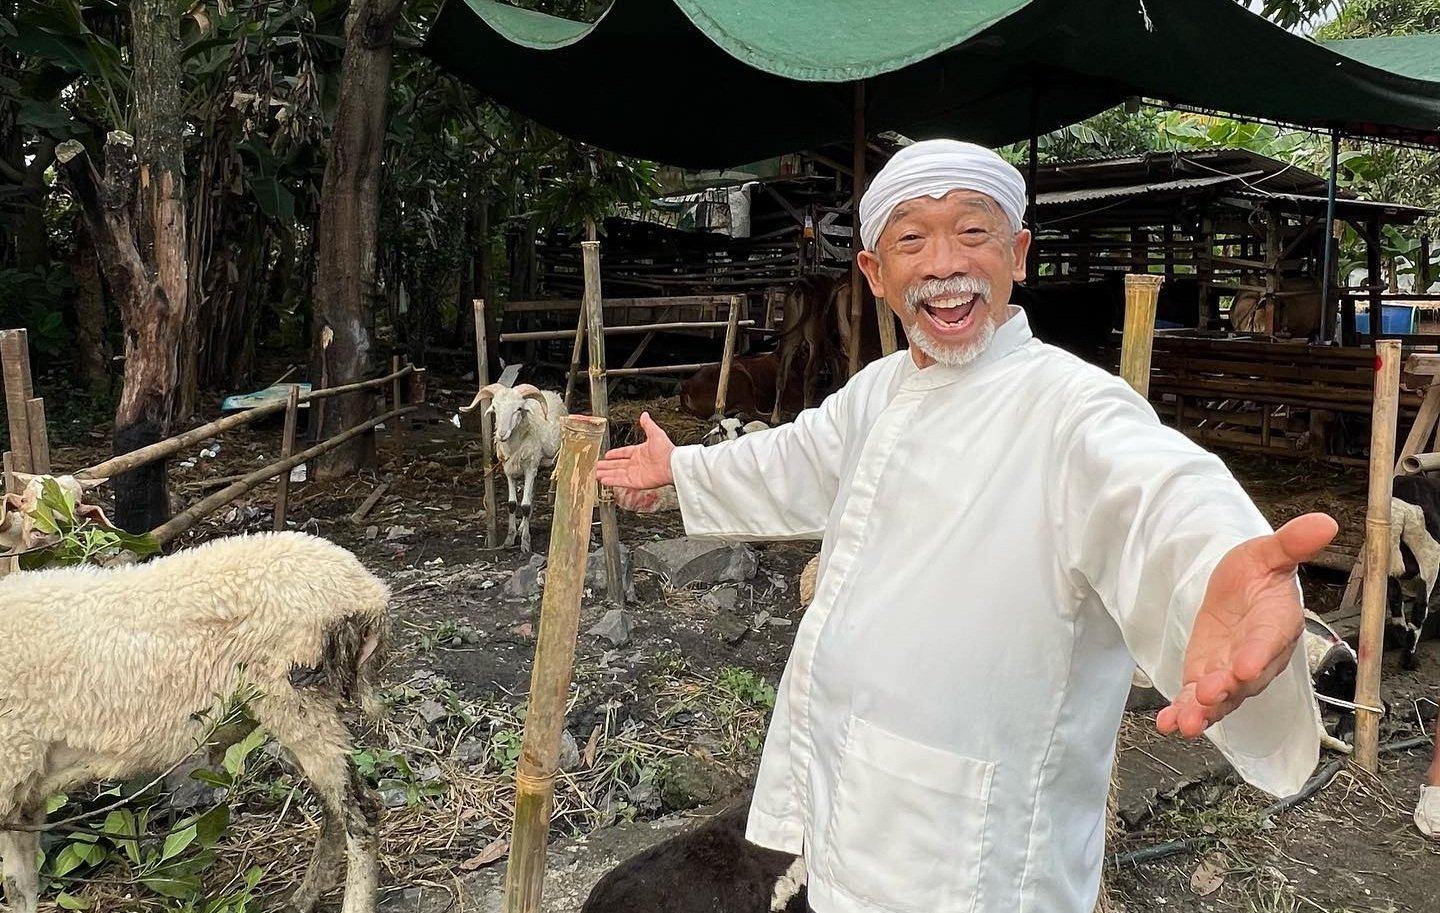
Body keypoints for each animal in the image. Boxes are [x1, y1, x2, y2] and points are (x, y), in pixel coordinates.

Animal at [0, 527, 388, 910]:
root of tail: (368, 591)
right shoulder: (23, 795)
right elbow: (19, 887)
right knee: (335, 808)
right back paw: (303, 898)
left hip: (295, 694)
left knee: (361, 811)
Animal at [463, 380, 570, 550]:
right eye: (494, 407)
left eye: (519, 409)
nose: (501, 434)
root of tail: (551, 392)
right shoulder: (509, 471)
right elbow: (512, 504)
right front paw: (510, 538)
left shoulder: (530, 468)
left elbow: (525, 506)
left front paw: (525, 544)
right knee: (531, 495)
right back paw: (522, 528)